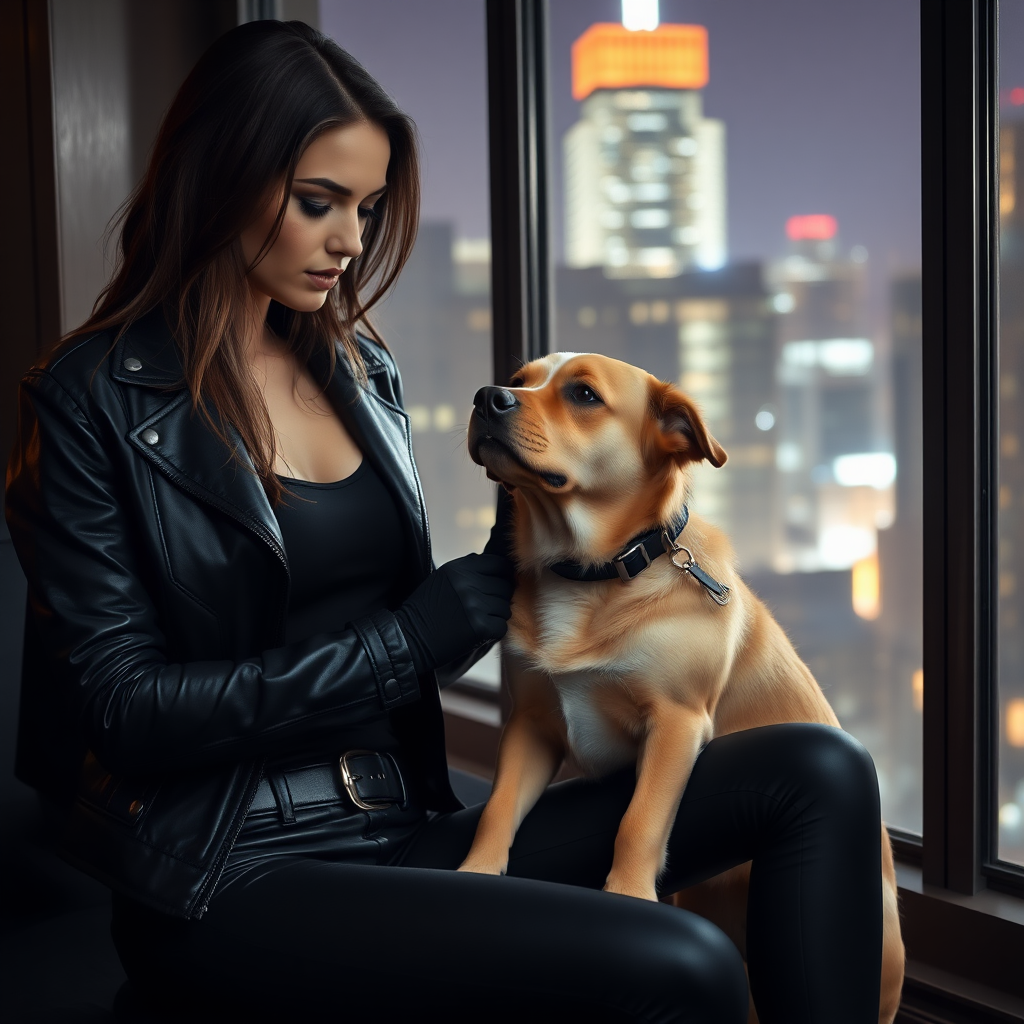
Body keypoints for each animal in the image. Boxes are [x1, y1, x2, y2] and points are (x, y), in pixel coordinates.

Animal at [460, 354, 901, 1024]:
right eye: (519, 378)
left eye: (582, 395)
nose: (488, 397)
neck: (590, 574)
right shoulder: (531, 726)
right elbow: (499, 808)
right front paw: (477, 873)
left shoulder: (676, 723)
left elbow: (638, 821)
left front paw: (627, 894)